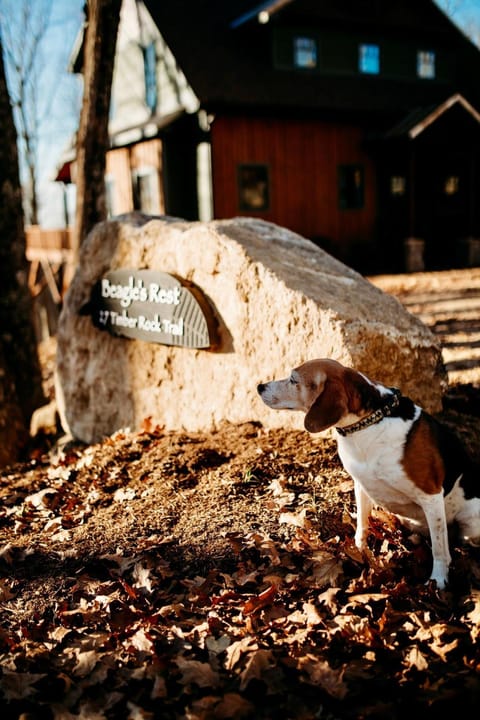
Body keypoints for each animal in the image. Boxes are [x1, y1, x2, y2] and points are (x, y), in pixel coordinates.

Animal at [258, 358, 480, 588]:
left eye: (293, 380)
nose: (260, 387)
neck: (368, 424)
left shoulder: (430, 495)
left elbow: (439, 549)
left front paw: (438, 580)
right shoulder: (361, 485)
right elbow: (361, 526)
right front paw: (359, 551)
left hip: (470, 526)